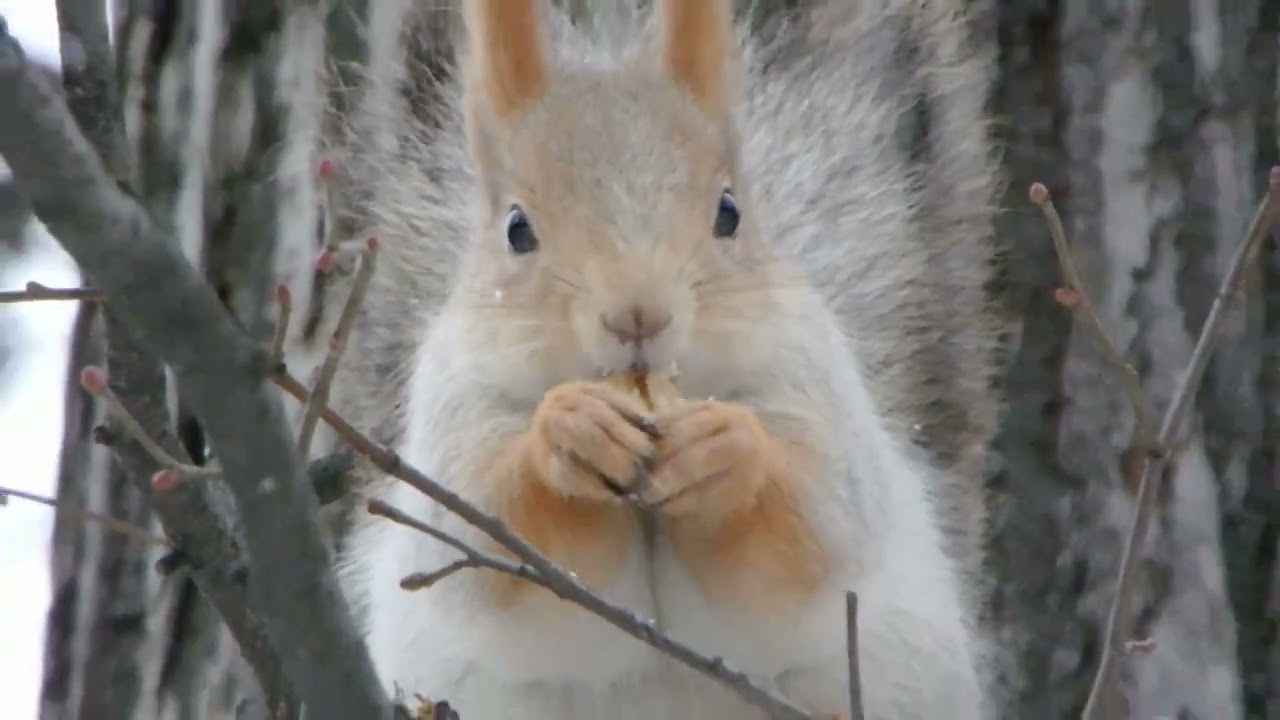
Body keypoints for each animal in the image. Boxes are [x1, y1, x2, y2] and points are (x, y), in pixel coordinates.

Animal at [313, 0, 1008, 717]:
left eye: (729, 212)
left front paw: (726, 451)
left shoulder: (813, 381)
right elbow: (486, 535)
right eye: (516, 229)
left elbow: (816, 522)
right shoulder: (454, 410)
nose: (638, 313)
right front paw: (567, 433)